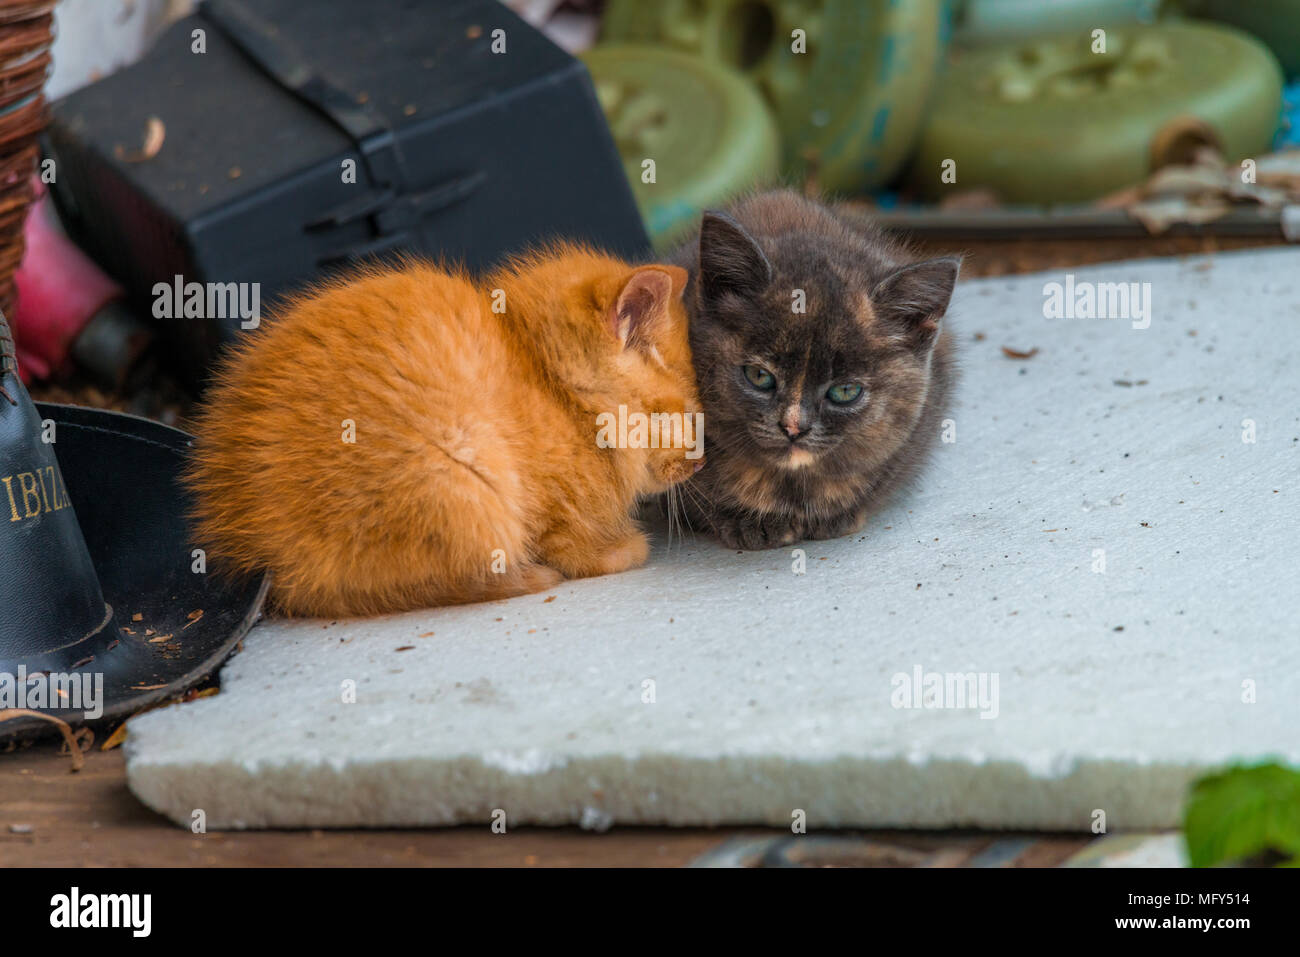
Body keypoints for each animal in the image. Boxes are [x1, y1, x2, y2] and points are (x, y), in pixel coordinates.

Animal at [185, 247, 702, 616]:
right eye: (677, 415)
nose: (698, 462)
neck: (554, 390)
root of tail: (261, 540)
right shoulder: (546, 505)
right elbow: (572, 545)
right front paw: (618, 550)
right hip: (457, 473)